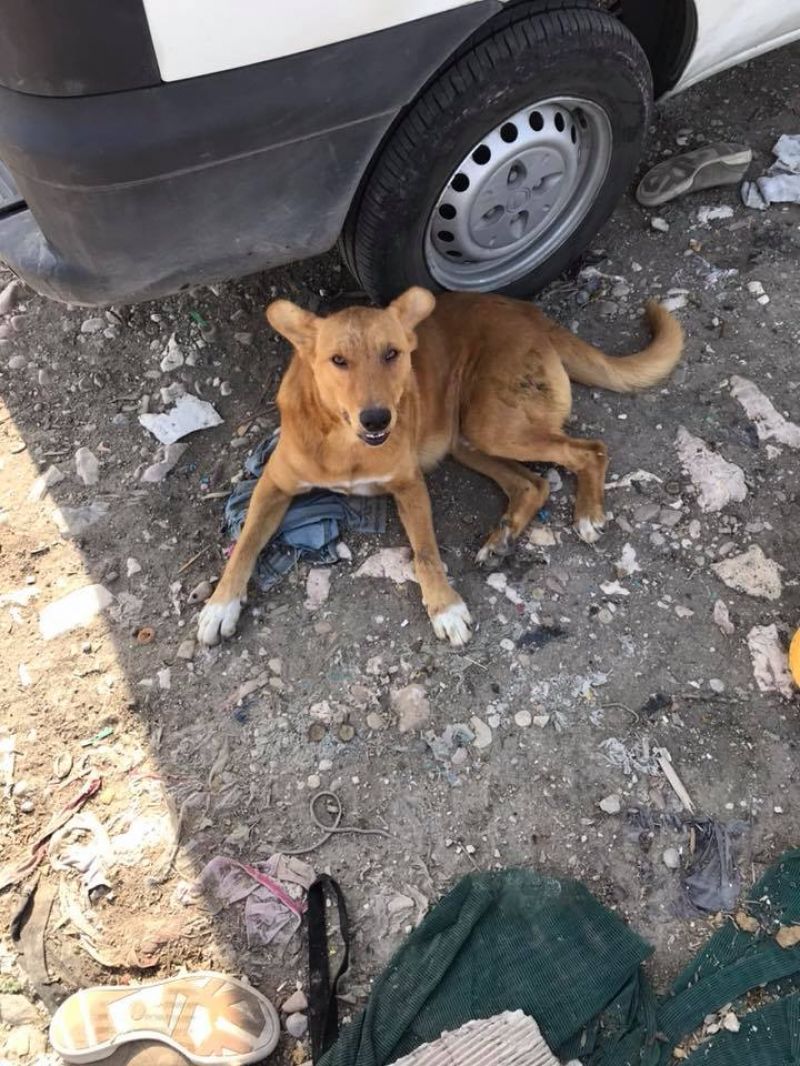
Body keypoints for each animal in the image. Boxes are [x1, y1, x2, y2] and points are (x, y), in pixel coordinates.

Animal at [199, 287, 682, 643]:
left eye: (392, 353)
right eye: (338, 361)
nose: (377, 419)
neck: (345, 442)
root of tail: (526, 310)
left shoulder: (409, 486)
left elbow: (426, 554)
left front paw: (445, 607)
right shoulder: (273, 485)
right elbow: (245, 544)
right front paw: (221, 604)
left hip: (493, 425)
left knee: (590, 449)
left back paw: (587, 514)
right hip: (467, 437)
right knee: (533, 484)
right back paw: (502, 537)